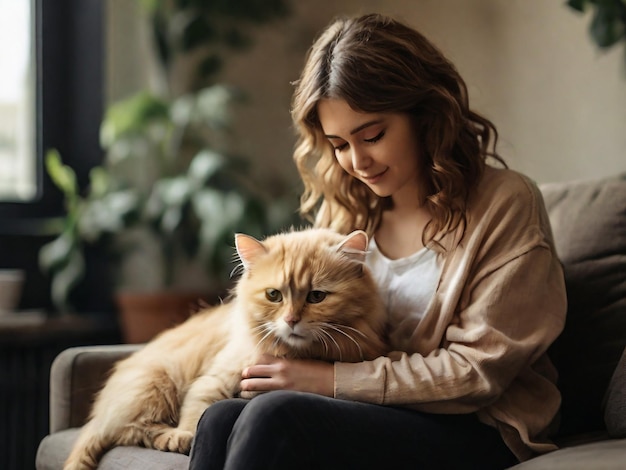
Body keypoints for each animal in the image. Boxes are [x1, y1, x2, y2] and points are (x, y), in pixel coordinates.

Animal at [63, 226, 386, 468]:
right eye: (274, 295)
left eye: (317, 297)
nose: (291, 320)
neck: (294, 352)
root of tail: (100, 412)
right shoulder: (215, 379)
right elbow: (197, 412)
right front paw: (186, 433)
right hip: (155, 384)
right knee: (131, 429)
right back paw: (174, 438)